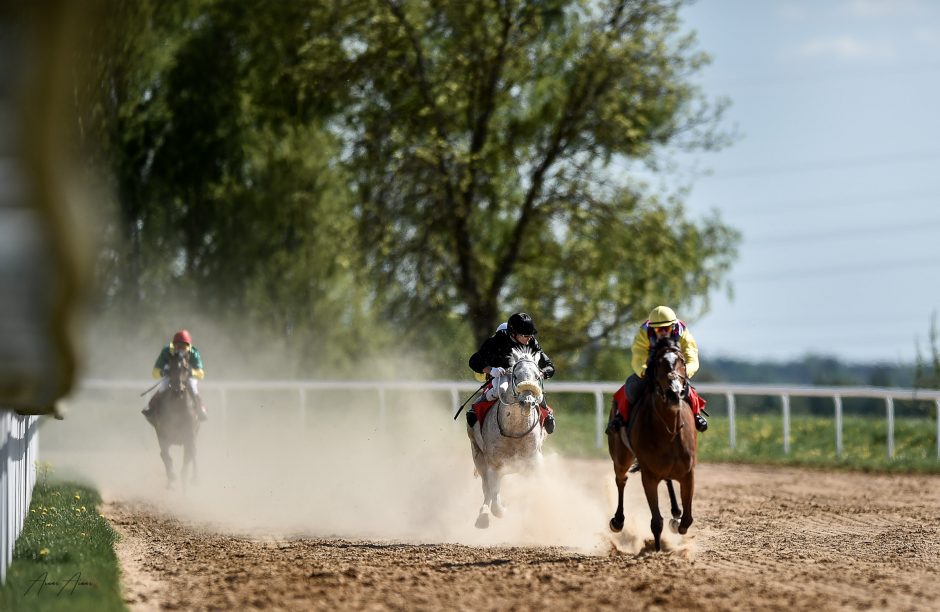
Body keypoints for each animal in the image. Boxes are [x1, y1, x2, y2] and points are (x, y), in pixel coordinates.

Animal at [151, 350, 201, 488]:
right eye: (170, 367)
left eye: (185, 367)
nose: (178, 388)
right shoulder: (163, 435)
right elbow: (166, 456)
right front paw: (172, 478)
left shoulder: (190, 436)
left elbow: (190, 457)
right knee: (164, 455)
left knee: (191, 455)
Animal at [466, 346, 548, 528]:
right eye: (516, 376)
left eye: (537, 376)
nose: (528, 402)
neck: (514, 432)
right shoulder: (493, 463)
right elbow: (495, 499)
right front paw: (502, 510)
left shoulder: (532, 461)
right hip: (478, 455)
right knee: (487, 489)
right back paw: (483, 516)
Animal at [608, 338, 696, 552]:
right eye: (658, 363)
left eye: (682, 361)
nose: (674, 393)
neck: (670, 432)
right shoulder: (649, 475)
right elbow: (656, 521)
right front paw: (656, 550)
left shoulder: (688, 473)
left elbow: (687, 519)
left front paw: (677, 522)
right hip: (621, 457)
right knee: (621, 479)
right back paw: (618, 521)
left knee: (668, 481)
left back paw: (675, 510)